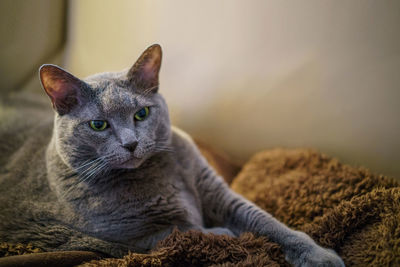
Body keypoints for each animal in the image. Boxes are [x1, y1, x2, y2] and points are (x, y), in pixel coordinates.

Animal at [0, 45, 344, 266]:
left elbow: (264, 220)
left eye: (141, 113)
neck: (161, 174)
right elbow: (185, 231)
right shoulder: (124, 239)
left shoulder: (218, 193)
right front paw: (223, 233)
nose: (130, 143)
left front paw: (319, 255)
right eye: (98, 125)